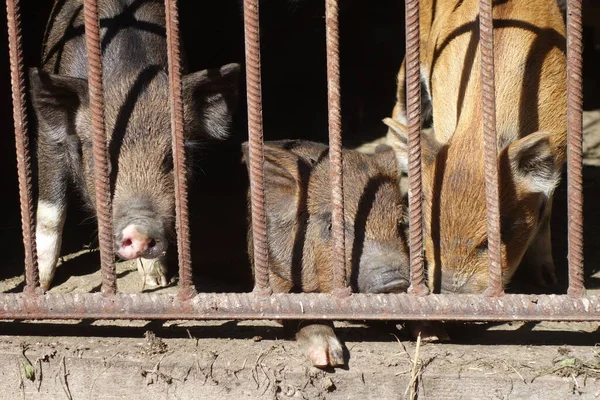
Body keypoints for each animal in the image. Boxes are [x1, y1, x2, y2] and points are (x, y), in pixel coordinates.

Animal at [28, 0, 239, 290]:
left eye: (174, 159)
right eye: (102, 160)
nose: (139, 230)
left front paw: (157, 281)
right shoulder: (49, 136)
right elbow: (51, 211)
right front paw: (42, 284)